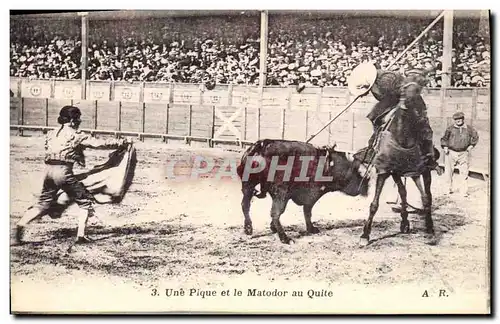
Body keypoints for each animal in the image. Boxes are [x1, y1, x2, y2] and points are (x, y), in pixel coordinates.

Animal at [236, 139, 370, 243]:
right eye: (358, 174)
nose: (366, 188)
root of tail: (262, 145)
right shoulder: (312, 194)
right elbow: (307, 212)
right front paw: (311, 228)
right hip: (280, 193)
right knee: (275, 213)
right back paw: (285, 238)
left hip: (248, 185)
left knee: (245, 205)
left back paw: (248, 228)